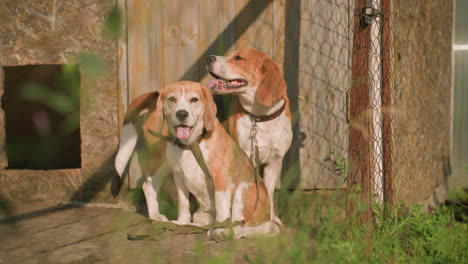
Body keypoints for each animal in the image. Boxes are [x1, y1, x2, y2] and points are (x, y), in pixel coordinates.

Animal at [152, 81, 280, 239]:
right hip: (201, 214)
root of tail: (267, 216)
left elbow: (221, 207)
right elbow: (183, 203)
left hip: (243, 189)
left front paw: (220, 228)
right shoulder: (179, 177)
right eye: (172, 99)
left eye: (194, 99)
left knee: (238, 229)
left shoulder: (220, 178)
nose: (182, 114)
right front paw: (182, 222)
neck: (192, 144)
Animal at [206, 48, 290, 220]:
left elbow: (268, 192)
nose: (208, 58)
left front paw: (270, 217)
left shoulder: (274, 162)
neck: (260, 117)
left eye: (238, 58)